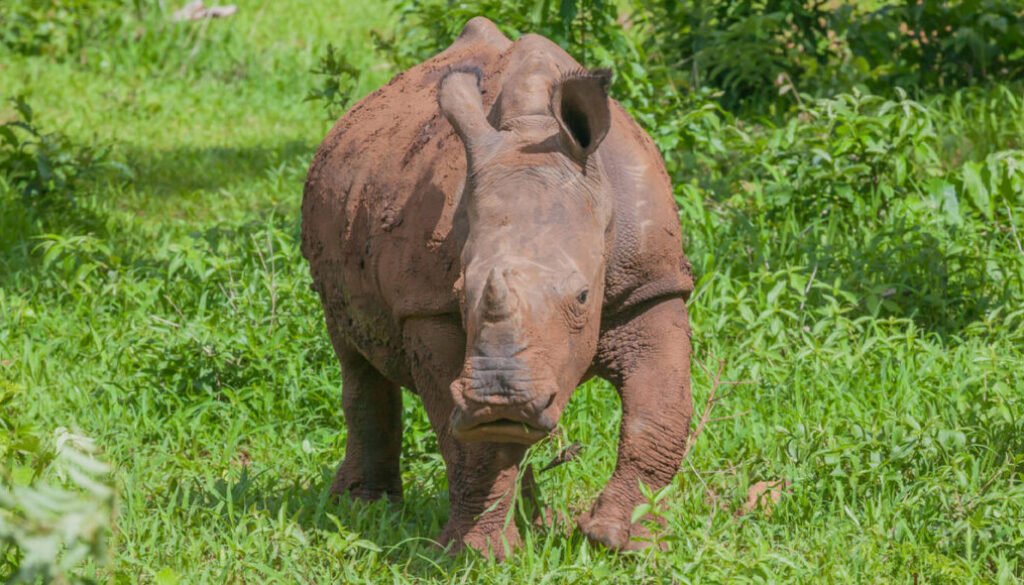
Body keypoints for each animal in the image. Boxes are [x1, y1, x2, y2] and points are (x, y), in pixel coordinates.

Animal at [301, 17, 694, 557]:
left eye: (583, 297)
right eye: (461, 292)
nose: (500, 399)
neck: (532, 133)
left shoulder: (652, 285)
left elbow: (661, 412)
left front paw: (618, 542)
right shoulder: (429, 309)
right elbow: (475, 448)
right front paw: (475, 554)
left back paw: (536, 519)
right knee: (355, 359)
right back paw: (365, 509)